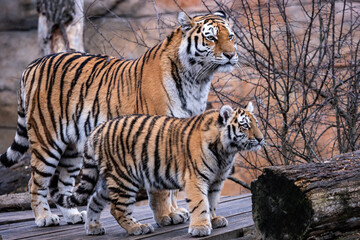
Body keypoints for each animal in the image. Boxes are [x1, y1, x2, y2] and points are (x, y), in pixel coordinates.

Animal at [0, 9, 238, 227]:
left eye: (231, 36)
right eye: (211, 38)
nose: (231, 55)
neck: (197, 80)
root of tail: (32, 65)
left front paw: (175, 212)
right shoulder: (156, 135)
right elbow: (161, 187)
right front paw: (166, 216)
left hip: (73, 148)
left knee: (62, 184)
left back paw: (73, 215)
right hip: (46, 141)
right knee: (35, 182)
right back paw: (44, 218)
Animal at [50, 103, 264, 236]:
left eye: (256, 124)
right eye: (245, 126)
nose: (261, 138)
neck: (226, 152)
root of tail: (97, 130)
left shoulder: (216, 181)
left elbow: (211, 202)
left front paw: (213, 219)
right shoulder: (196, 179)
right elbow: (200, 203)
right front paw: (201, 228)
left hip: (108, 180)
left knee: (94, 200)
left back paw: (93, 228)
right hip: (124, 179)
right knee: (117, 208)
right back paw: (137, 228)